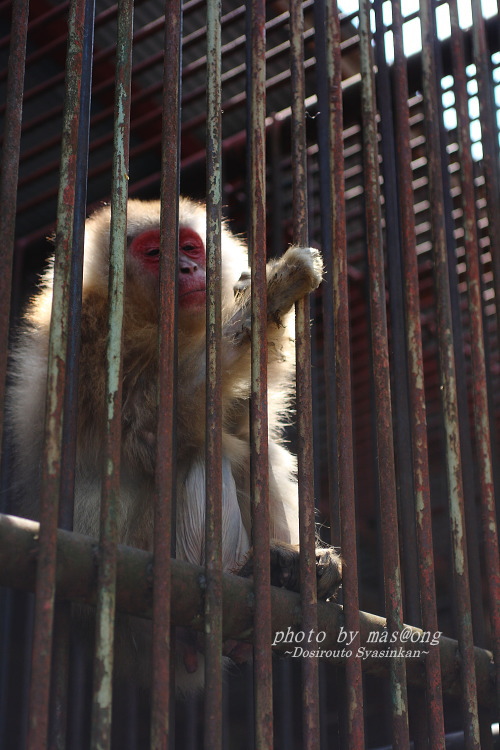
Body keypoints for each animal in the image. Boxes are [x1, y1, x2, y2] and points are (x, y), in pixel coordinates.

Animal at [7, 200, 342, 692]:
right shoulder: (94, 337)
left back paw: (288, 569)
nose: (187, 268)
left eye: (189, 247)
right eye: (155, 252)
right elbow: (152, 429)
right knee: (204, 452)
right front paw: (274, 291)